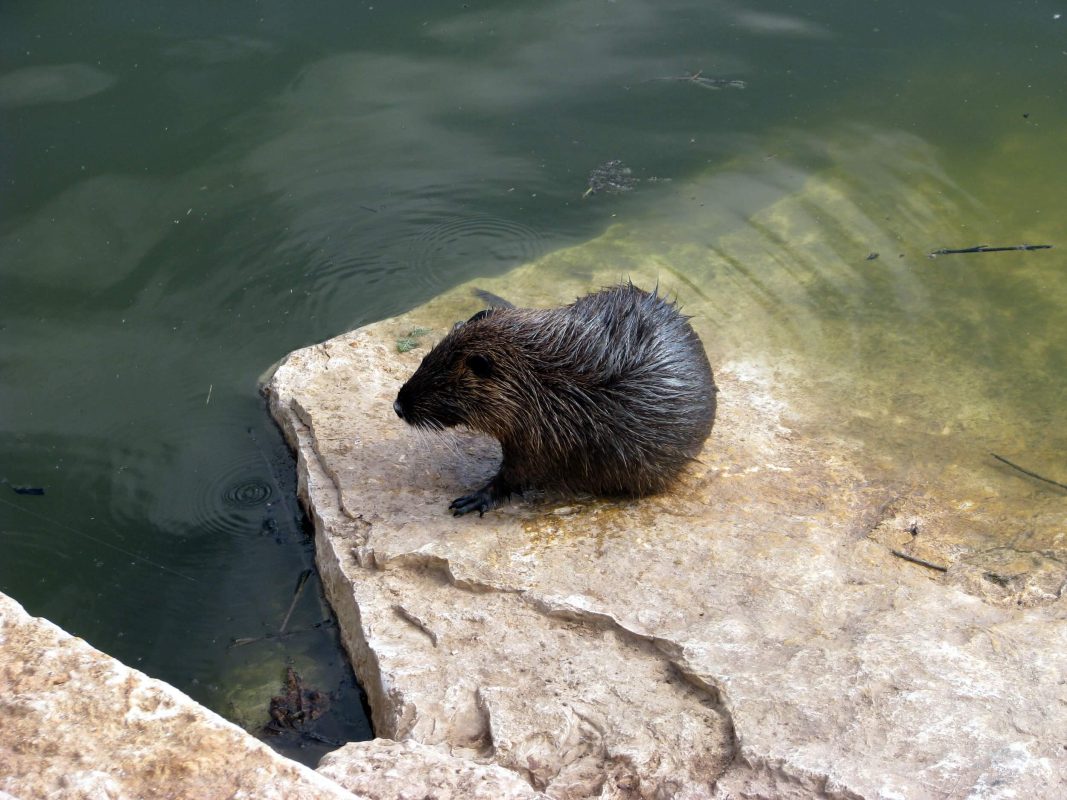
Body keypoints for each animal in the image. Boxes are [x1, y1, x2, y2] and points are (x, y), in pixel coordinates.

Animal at [393, 283, 717, 516]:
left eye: (441, 383)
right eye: (425, 360)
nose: (398, 406)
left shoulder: (546, 438)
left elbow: (517, 474)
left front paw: (471, 500)